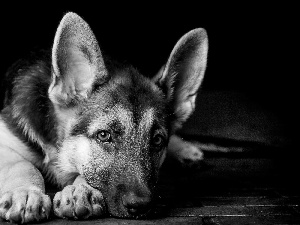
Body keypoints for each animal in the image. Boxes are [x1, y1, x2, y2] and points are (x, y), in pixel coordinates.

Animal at [0, 11, 207, 222]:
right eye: (103, 135)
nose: (141, 206)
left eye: (157, 140)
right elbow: (23, 165)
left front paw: (79, 190)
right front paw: (25, 193)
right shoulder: (5, 144)